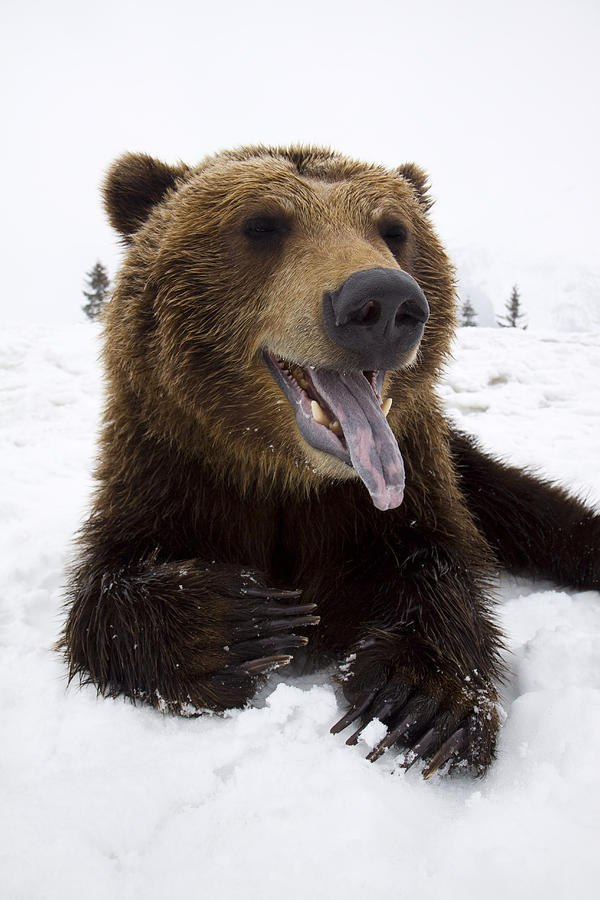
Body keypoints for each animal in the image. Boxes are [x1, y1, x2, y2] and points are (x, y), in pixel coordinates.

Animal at [61, 146, 600, 772]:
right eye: (261, 224)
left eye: (394, 230)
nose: (384, 300)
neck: (286, 474)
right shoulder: (171, 467)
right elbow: (106, 588)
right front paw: (249, 622)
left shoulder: (401, 485)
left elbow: (440, 562)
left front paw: (419, 701)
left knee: (525, 502)